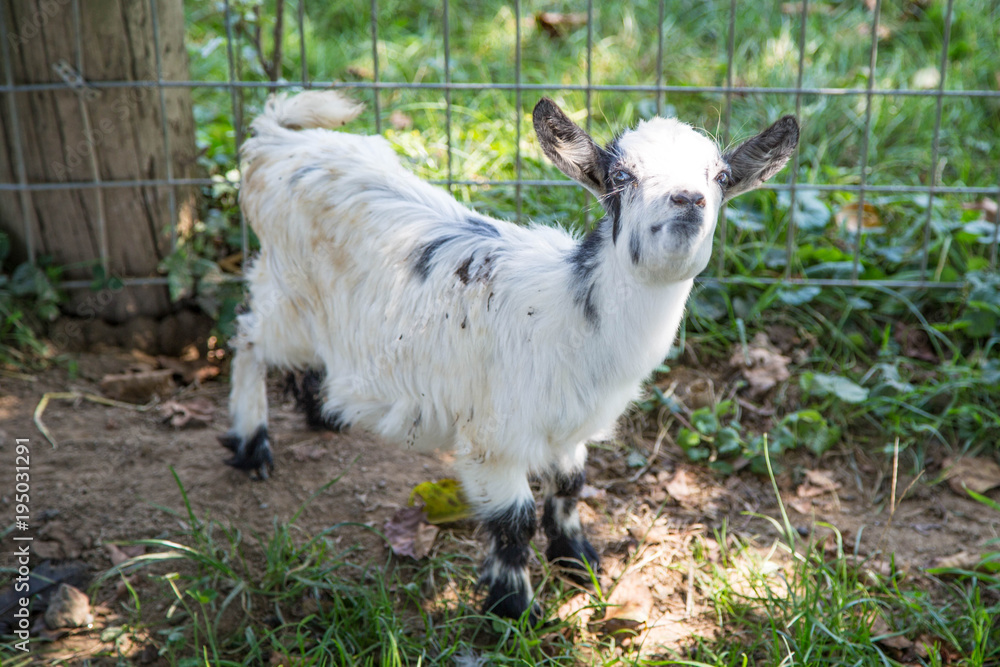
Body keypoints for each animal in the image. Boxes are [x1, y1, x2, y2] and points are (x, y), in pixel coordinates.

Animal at [222, 90, 799, 622]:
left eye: (721, 175)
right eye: (621, 175)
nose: (687, 199)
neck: (570, 319)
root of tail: (275, 143)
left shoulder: (570, 426)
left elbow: (570, 486)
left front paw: (579, 562)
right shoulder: (493, 438)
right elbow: (513, 520)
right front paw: (514, 608)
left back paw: (321, 410)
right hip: (288, 298)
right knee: (248, 335)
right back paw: (252, 444)